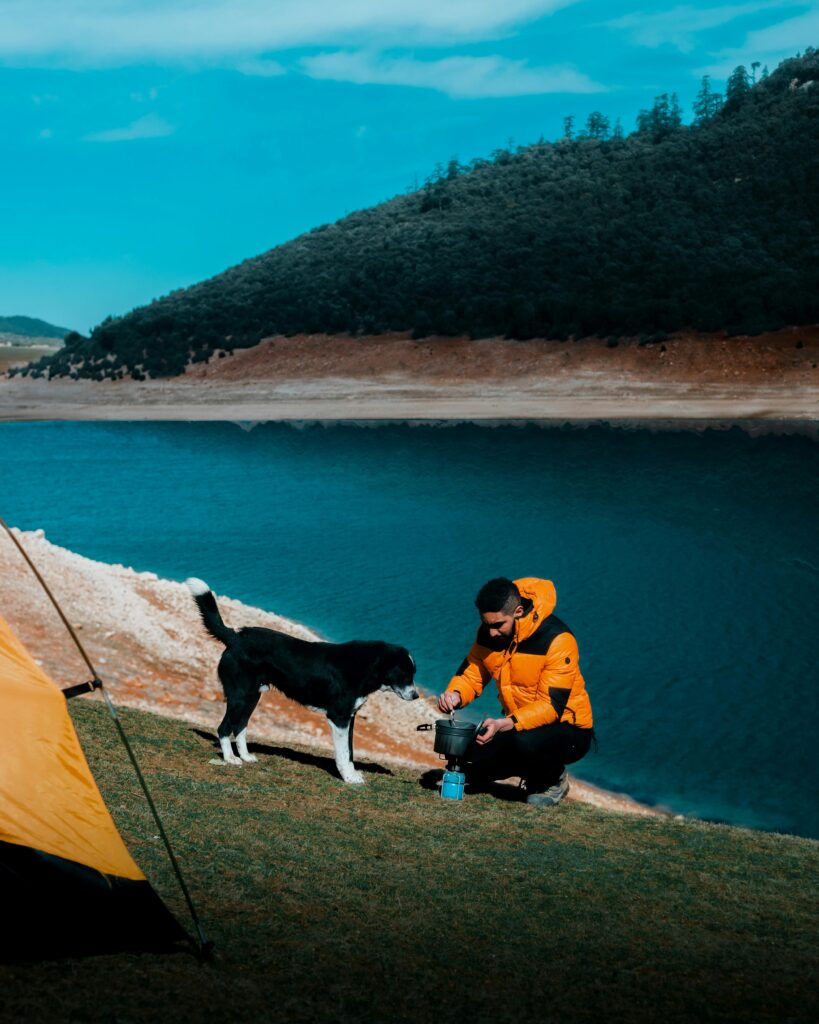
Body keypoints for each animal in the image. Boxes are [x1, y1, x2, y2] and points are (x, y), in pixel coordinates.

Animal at [184, 577, 415, 782]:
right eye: (404, 674)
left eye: (414, 674)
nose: (416, 695)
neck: (362, 665)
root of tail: (235, 638)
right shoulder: (338, 717)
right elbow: (343, 753)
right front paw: (349, 778)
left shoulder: (350, 716)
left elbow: (350, 752)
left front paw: (352, 774)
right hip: (239, 696)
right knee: (223, 728)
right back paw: (230, 759)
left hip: (252, 696)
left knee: (240, 725)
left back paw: (246, 756)